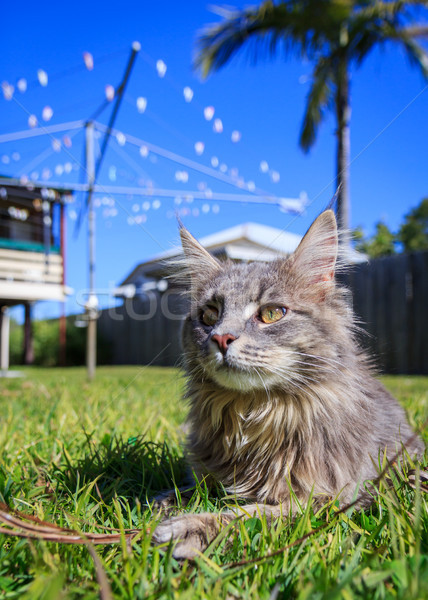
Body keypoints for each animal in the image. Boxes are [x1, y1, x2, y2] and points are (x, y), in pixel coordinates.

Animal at [152, 210, 422, 556]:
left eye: (271, 314)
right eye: (209, 316)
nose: (221, 338)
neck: (253, 413)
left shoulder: (329, 499)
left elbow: (249, 516)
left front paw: (189, 528)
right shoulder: (206, 473)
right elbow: (184, 490)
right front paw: (159, 505)